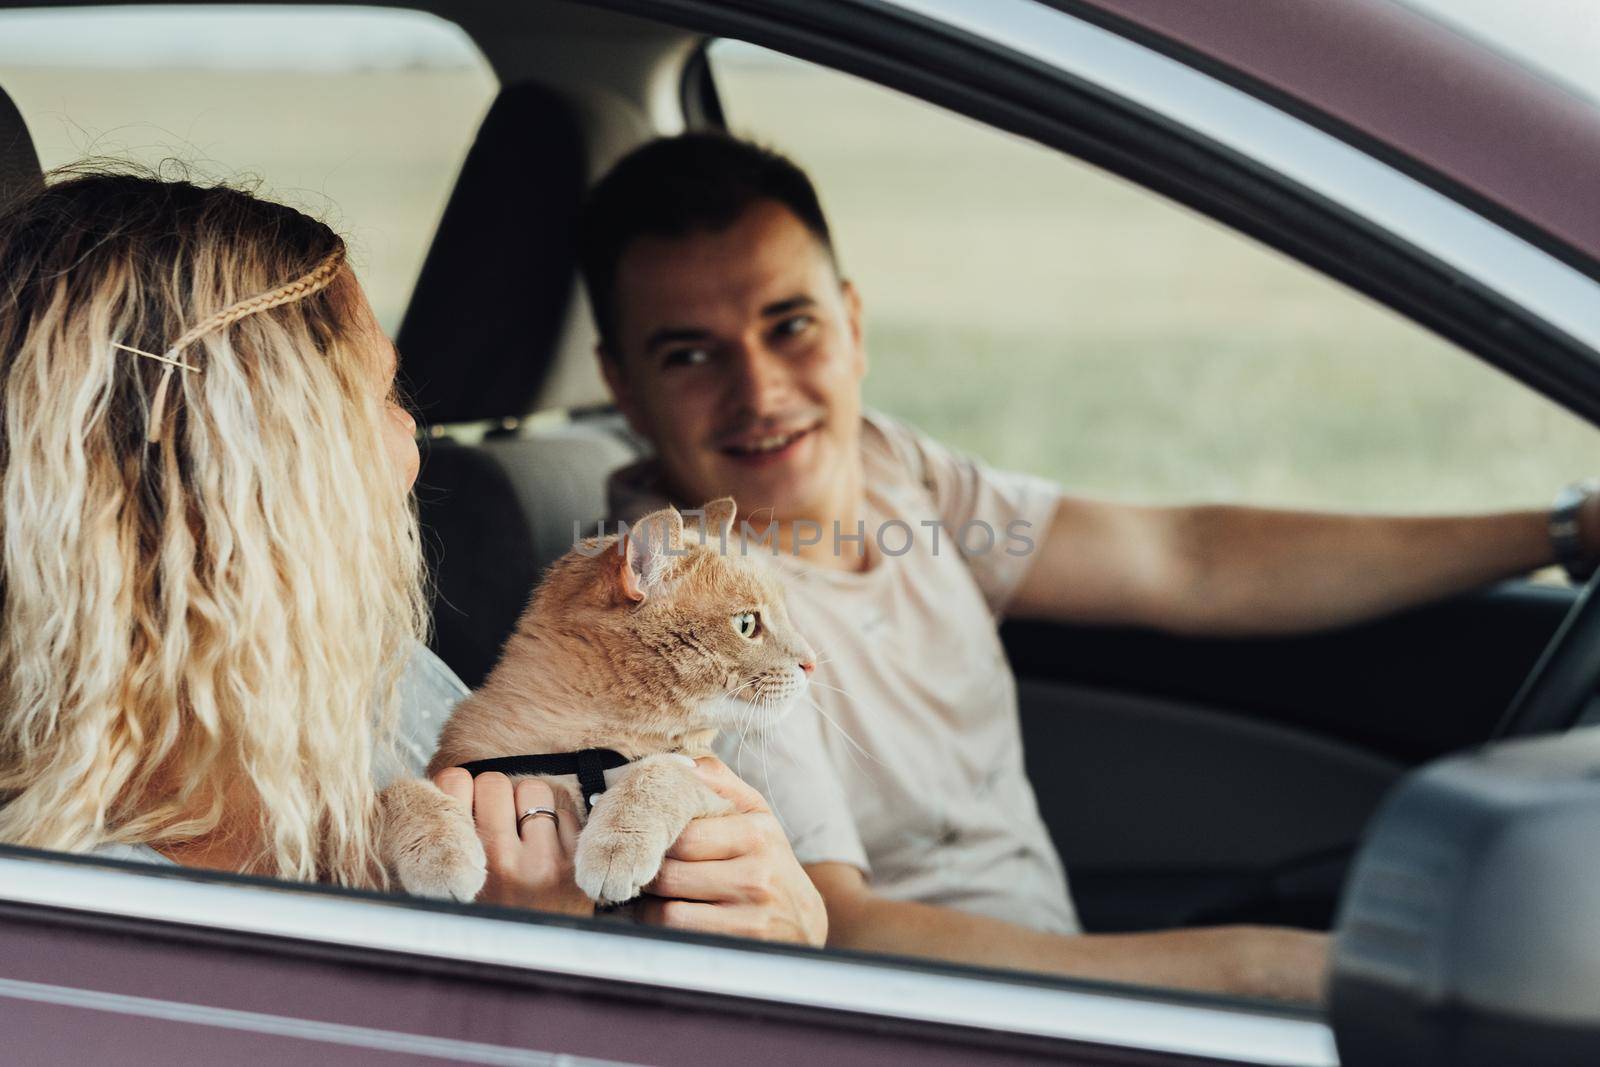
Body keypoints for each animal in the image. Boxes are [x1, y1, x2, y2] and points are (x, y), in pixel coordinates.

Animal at [380, 502, 819, 908]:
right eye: (747, 625)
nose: (811, 662)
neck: (581, 748)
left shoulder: (717, 802)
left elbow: (662, 771)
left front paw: (617, 846)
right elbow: (393, 792)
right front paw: (439, 853)